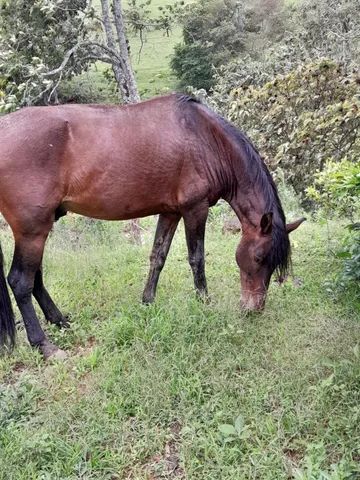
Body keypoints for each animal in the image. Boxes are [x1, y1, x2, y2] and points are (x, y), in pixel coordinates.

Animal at [0, 94, 304, 358]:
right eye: (259, 257)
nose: (254, 309)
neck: (206, 138)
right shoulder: (195, 209)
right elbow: (197, 258)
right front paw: (204, 302)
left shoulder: (170, 213)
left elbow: (158, 256)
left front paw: (148, 301)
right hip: (32, 230)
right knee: (21, 282)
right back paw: (44, 344)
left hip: (40, 228)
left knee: (36, 280)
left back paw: (60, 321)